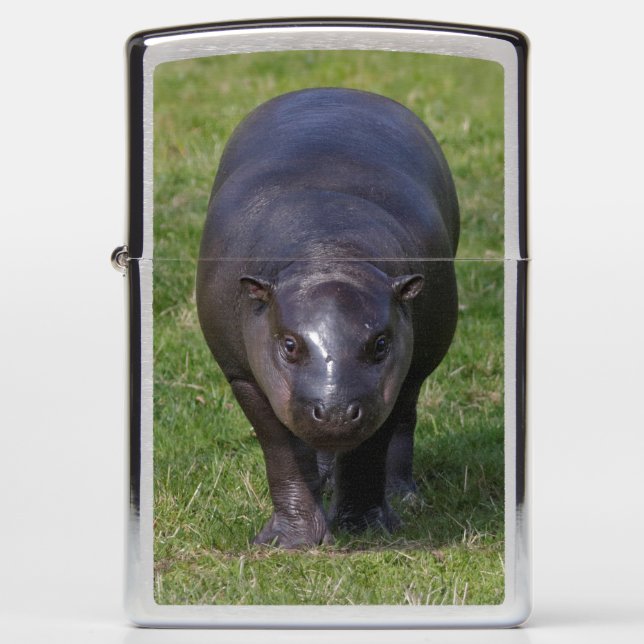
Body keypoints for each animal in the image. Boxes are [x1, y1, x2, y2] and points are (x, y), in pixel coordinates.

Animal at [196, 88, 459, 548]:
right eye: (288, 344)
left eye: (381, 343)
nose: (335, 411)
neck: (327, 248)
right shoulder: (242, 375)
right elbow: (282, 452)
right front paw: (290, 542)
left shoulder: (392, 378)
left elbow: (371, 447)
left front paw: (365, 529)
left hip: (414, 369)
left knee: (403, 422)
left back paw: (403, 497)